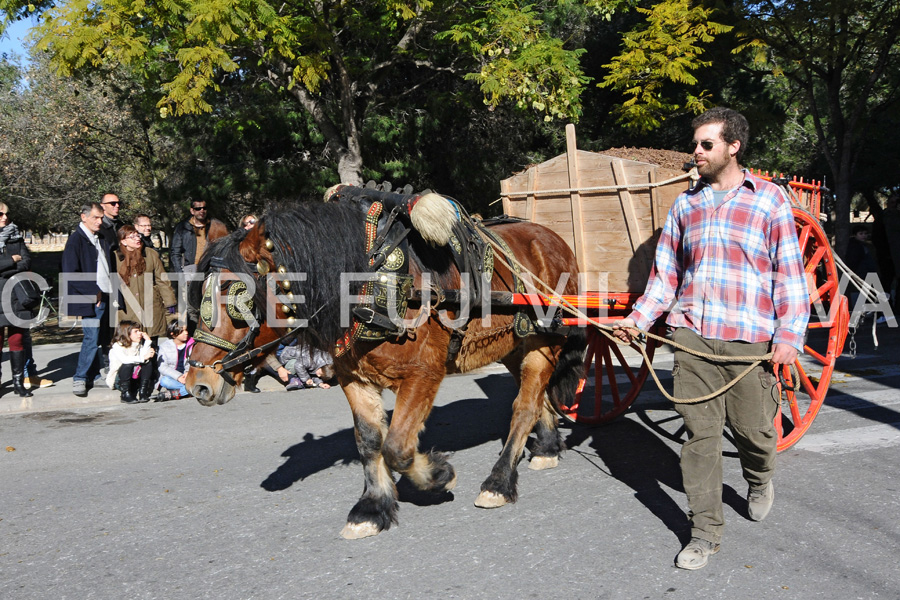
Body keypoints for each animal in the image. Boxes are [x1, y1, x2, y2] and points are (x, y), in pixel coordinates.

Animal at [186, 197, 588, 540]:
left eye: (237, 297)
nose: (198, 382)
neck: (370, 285)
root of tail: (553, 239)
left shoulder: (423, 374)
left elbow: (397, 446)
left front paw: (438, 474)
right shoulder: (354, 377)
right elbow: (369, 441)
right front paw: (372, 508)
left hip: (544, 341)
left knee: (524, 407)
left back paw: (499, 482)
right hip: (517, 344)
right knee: (537, 398)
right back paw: (547, 447)